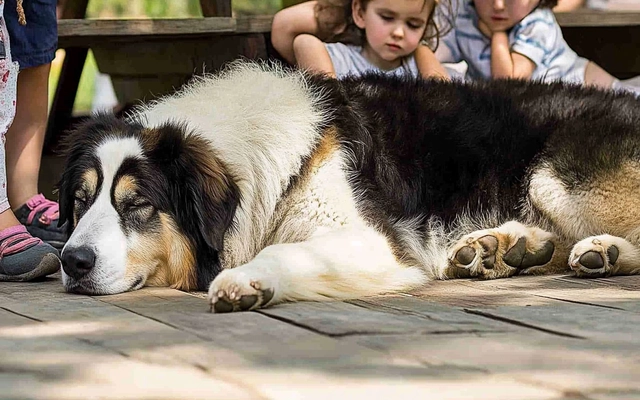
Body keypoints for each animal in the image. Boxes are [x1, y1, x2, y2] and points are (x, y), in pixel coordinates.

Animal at [55, 63, 640, 312]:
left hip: (554, 177)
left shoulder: (373, 242)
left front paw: (247, 280)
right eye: (80, 202)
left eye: (138, 204)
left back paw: (599, 251)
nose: (72, 262)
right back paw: (503, 248)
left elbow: (283, 251)